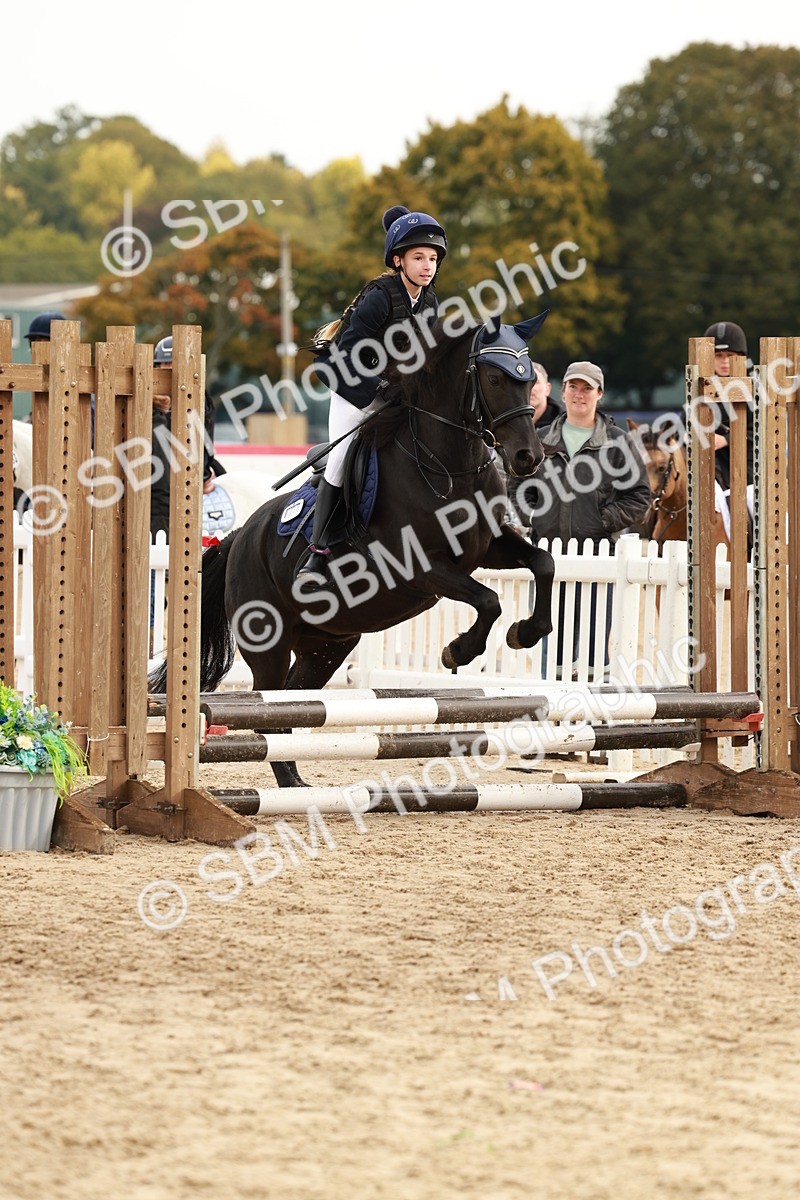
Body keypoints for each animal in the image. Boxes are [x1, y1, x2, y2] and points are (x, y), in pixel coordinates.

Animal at [151, 316, 556, 786]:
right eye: (494, 378)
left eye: (529, 382)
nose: (528, 457)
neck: (450, 467)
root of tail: (237, 539)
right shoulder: (420, 568)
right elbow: (488, 599)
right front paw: (459, 650)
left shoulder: (487, 548)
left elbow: (543, 563)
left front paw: (526, 632)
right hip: (269, 644)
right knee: (270, 713)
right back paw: (292, 785)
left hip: (327, 646)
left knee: (291, 707)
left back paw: (296, 784)